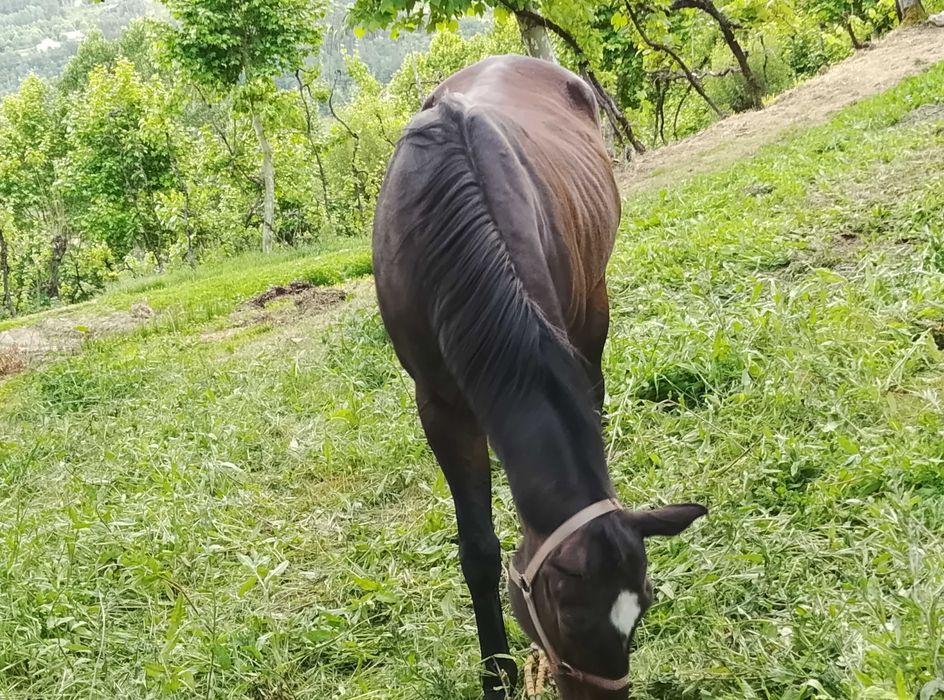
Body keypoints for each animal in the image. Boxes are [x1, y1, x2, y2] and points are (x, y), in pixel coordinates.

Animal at [373, 55, 707, 700]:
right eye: (565, 614)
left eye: (643, 608)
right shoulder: (438, 407)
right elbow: (478, 550)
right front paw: (497, 676)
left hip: (594, 301)